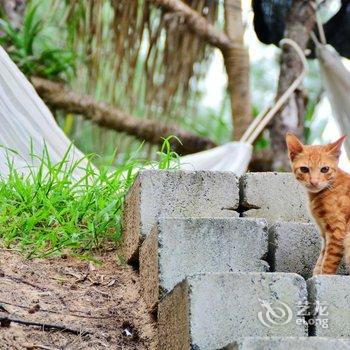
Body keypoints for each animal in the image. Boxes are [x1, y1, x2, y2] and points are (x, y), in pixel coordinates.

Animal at [286, 132, 350, 276]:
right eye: (304, 169)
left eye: (325, 169)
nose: (314, 182)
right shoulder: (325, 233)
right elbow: (321, 259)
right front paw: (316, 273)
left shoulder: (337, 231)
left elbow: (328, 264)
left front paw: (324, 276)